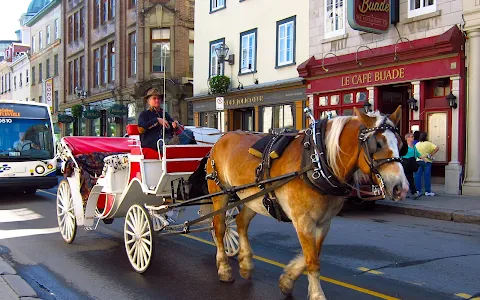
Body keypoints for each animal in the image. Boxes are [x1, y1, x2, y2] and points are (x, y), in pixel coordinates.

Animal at [193, 105, 406, 298]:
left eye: (401, 144)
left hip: (253, 198)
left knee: (241, 223)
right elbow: (312, 260)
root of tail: (220, 139)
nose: (401, 187)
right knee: (219, 228)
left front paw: (287, 281)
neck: (317, 161)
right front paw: (317, 294)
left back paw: (245, 264)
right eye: (377, 144)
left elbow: (312, 254)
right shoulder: (303, 220)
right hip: (220, 194)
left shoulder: (324, 222)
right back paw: (224, 268)